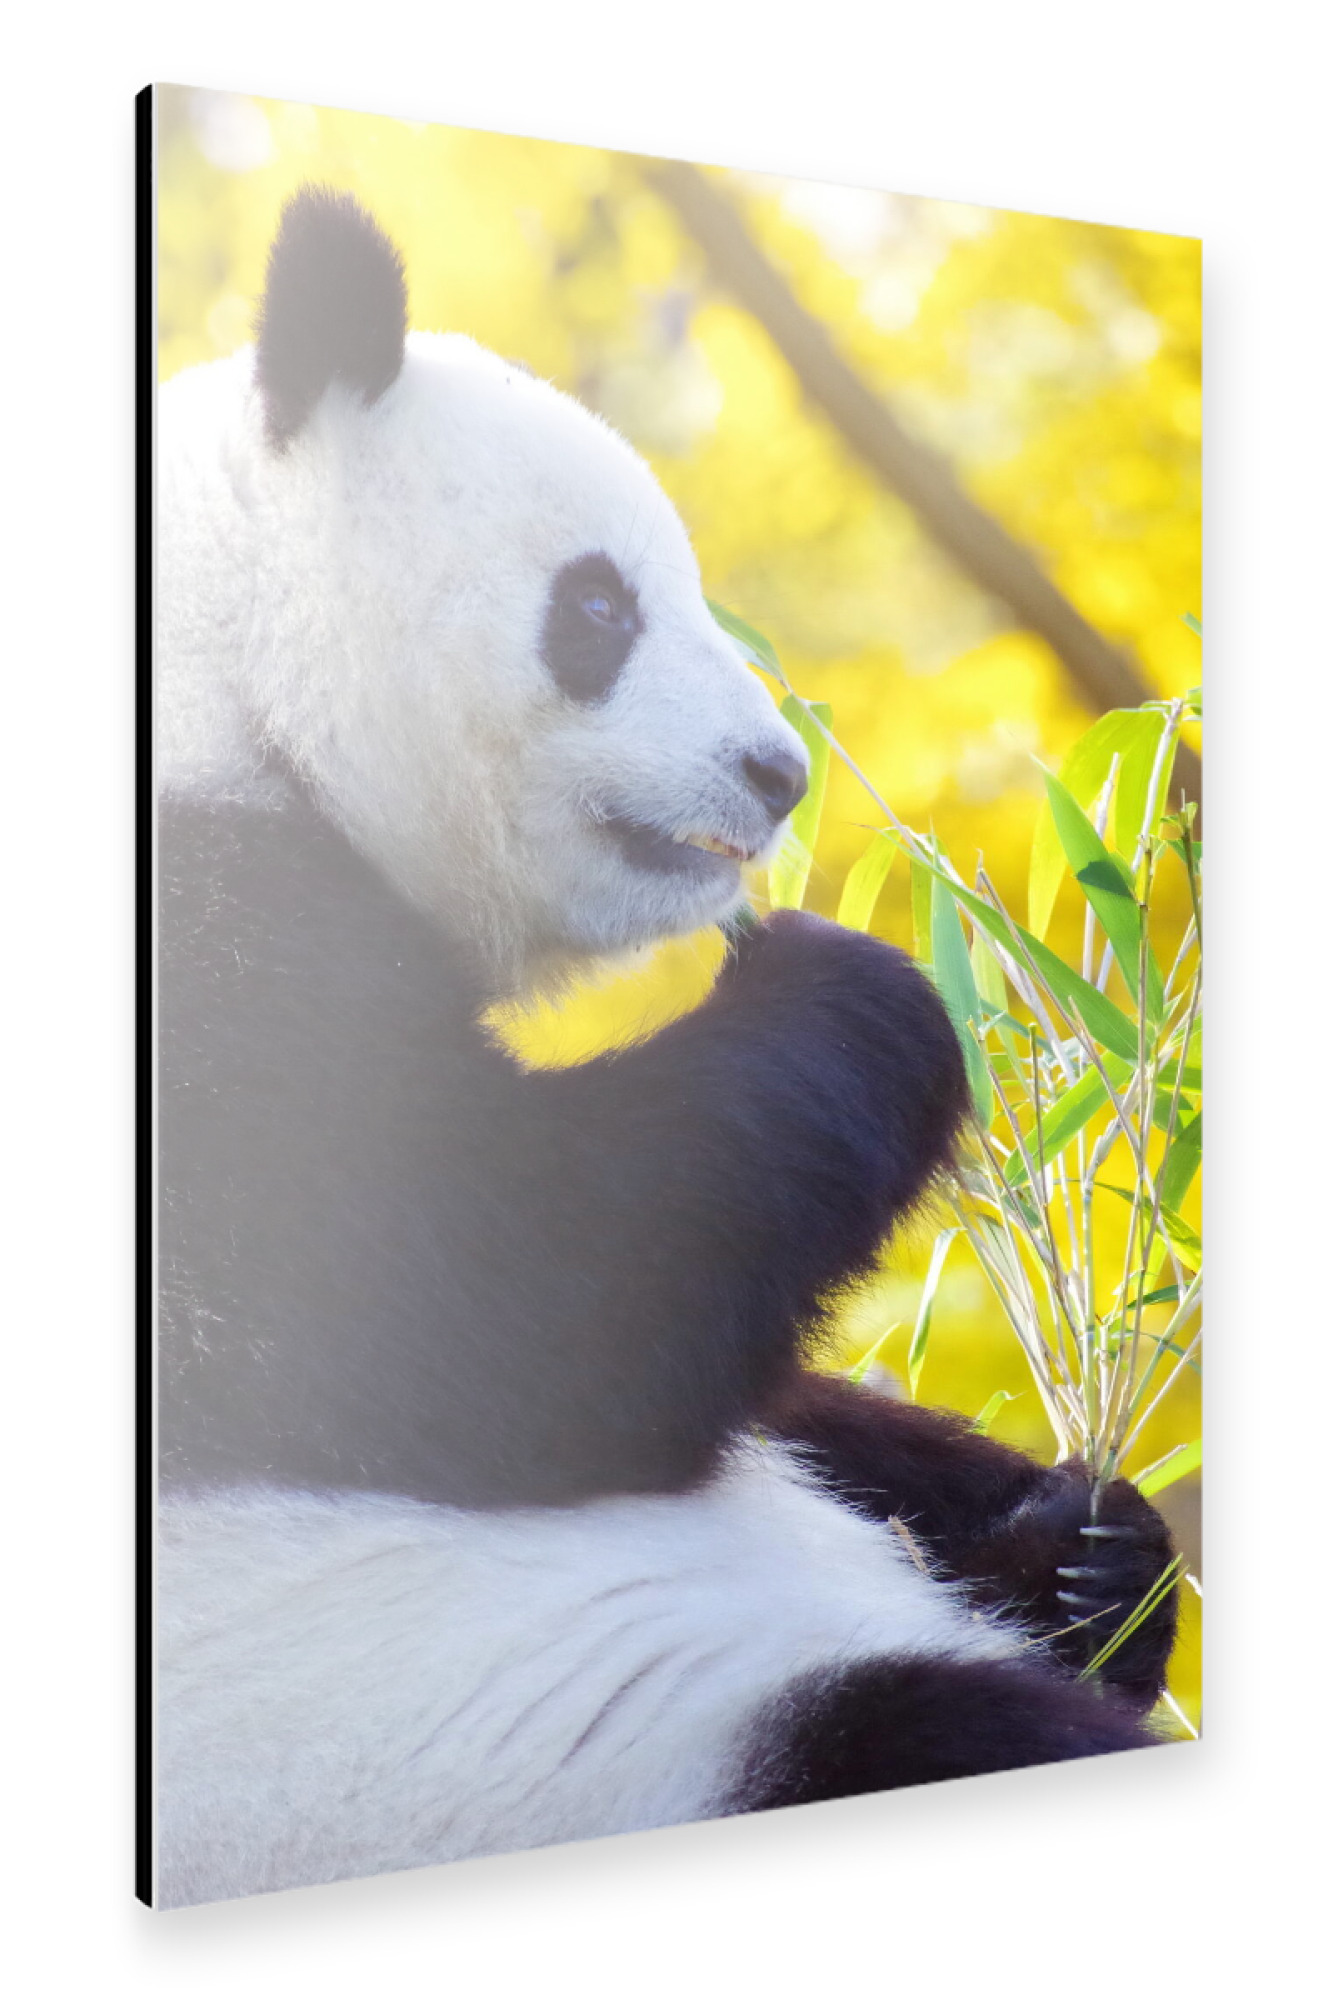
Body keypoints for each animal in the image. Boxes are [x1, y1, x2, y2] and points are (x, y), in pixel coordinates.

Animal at [153, 187, 1179, 1909]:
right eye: (598, 605)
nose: (777, 776)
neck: (224, 674)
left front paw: (1092, 1548)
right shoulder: (200, 964)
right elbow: (513, 1304)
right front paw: (866, 985)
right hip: (610, 1756)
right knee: (922, 1732)